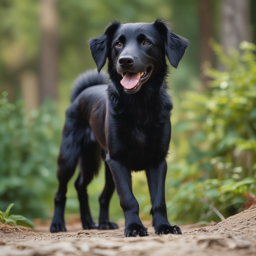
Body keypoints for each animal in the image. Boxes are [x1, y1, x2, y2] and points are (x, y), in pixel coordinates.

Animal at [50, 19, 188, 236]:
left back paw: (95, 223)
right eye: (118, 44)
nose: (125, 61)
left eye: (147, 42)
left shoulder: (157, 160)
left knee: (87, 189)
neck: (139, 105)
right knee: (61, 191)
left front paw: (164, 226)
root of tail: (83, 92)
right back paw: (57, 224)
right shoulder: (117, 160)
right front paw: (134, 227)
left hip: (96, 163)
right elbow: (128, 199)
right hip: (69, 158)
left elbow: (159, 200)